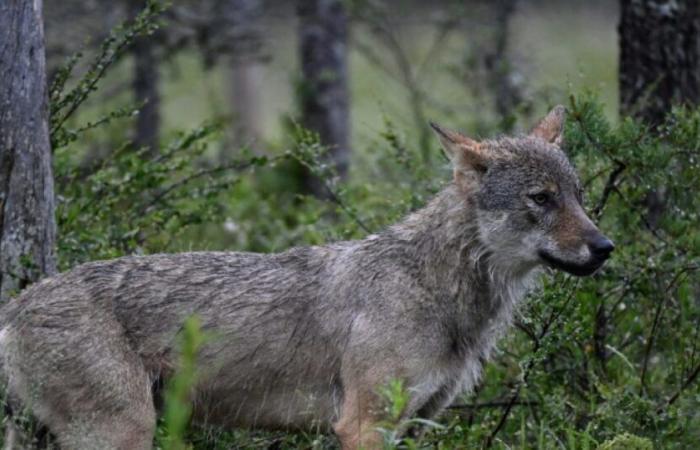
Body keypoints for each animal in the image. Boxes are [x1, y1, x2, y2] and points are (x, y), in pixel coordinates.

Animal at [0, 106, 612, 450]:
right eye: (542, 199)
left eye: (579, 197)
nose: (605, 248)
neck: (438, 290)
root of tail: (16, 305)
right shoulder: (364, 427)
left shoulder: (418, 425)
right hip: (124, 434)